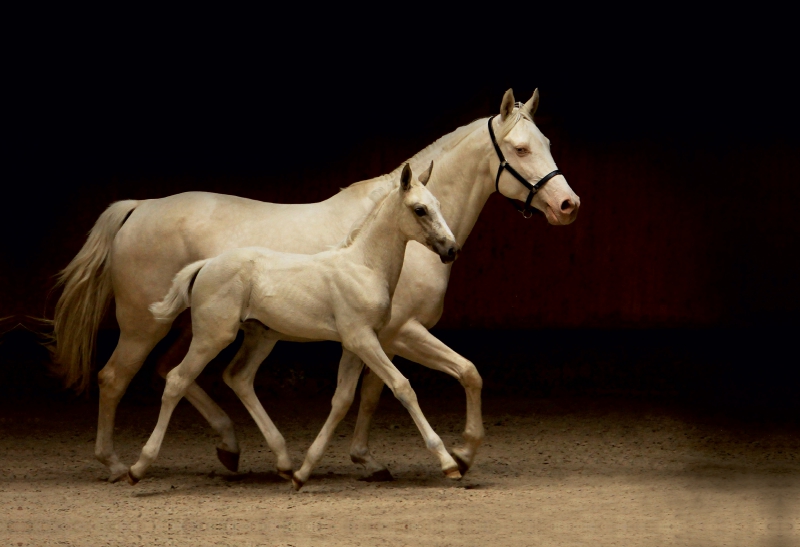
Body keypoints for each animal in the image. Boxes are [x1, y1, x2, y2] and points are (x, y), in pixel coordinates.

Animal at [127, 163, 460, 488]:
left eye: (439, 204)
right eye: (420, 209)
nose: (451, 249)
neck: (363, 266)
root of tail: (206, 265)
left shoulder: (355, 345)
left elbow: (342, 400)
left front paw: (303, 473)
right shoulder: (362, 339)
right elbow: (402, 386)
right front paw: (449, 463)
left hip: (260, 337)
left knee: (238, 377)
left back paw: (284, 463)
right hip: (212, 337)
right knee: (176, 380)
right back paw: (137, 467)